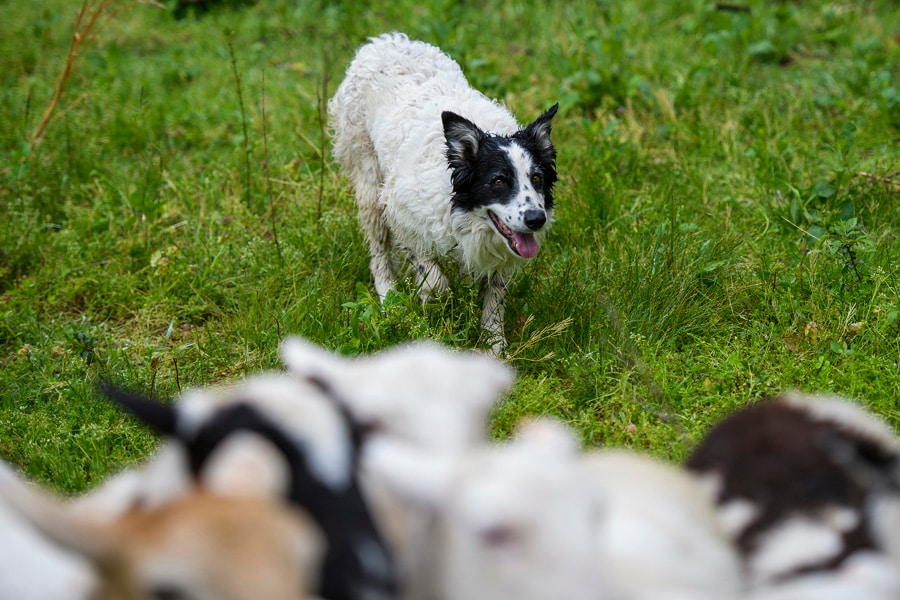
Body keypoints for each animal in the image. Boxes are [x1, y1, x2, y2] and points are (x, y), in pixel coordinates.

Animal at [326, 32, 560, 352]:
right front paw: (432, 305)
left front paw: (494, 344)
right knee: (378, 253)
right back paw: (389, 296)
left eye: (537, 178)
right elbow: (435, 281)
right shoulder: (401, 213)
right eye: (498, 181)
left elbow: (495, 295)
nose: (537, 219)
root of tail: (382, 42)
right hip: (369, 185)